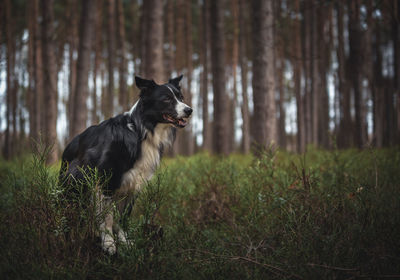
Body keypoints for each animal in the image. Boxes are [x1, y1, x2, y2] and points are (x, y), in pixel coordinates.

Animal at [58, 75, 193, 255]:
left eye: (181, 98)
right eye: (166, 99)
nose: (189, 110)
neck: (140, 131)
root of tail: (70, 144)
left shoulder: (133, 185)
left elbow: (122, 217)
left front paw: (124, 241)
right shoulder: (105, 182)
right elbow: (107, 217)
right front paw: (109, 244)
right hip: (73, 182)